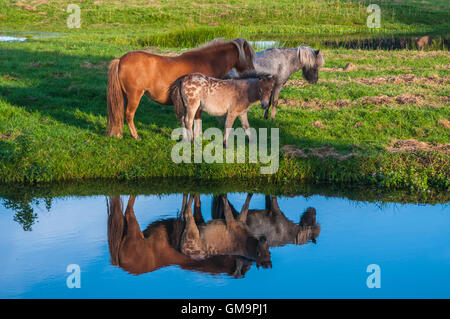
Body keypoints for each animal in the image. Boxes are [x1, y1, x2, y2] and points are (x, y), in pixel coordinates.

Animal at [103, 37, 255, 140]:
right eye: (248, 54)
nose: (252, 70)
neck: (207, 62)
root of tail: (120, 59)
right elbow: (195, 119)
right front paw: (196, 137)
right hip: (134, 95)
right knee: (129, 114)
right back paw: (136, 136)